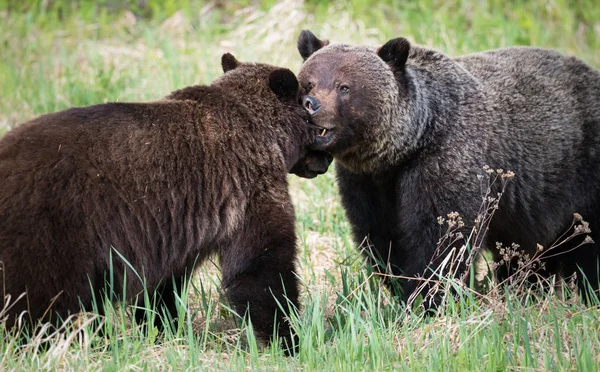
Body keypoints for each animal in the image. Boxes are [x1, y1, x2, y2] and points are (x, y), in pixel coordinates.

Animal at [0, 53, 330, 352]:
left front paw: (164, 326)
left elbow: (163, 285)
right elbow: (260, 265)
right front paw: (290, 337)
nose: (325, 162)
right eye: (317, 124)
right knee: (40, 301)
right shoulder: (248, 189)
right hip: (51, 230)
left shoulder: (173, 224)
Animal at [296, 29, 600, 306]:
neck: (405, 148)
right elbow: (382, 237)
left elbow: (441, 240)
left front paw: (427, 299)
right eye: (308, 82)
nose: (311, 104)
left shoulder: (446, 161)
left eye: (344, 87)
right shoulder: (367, 184)